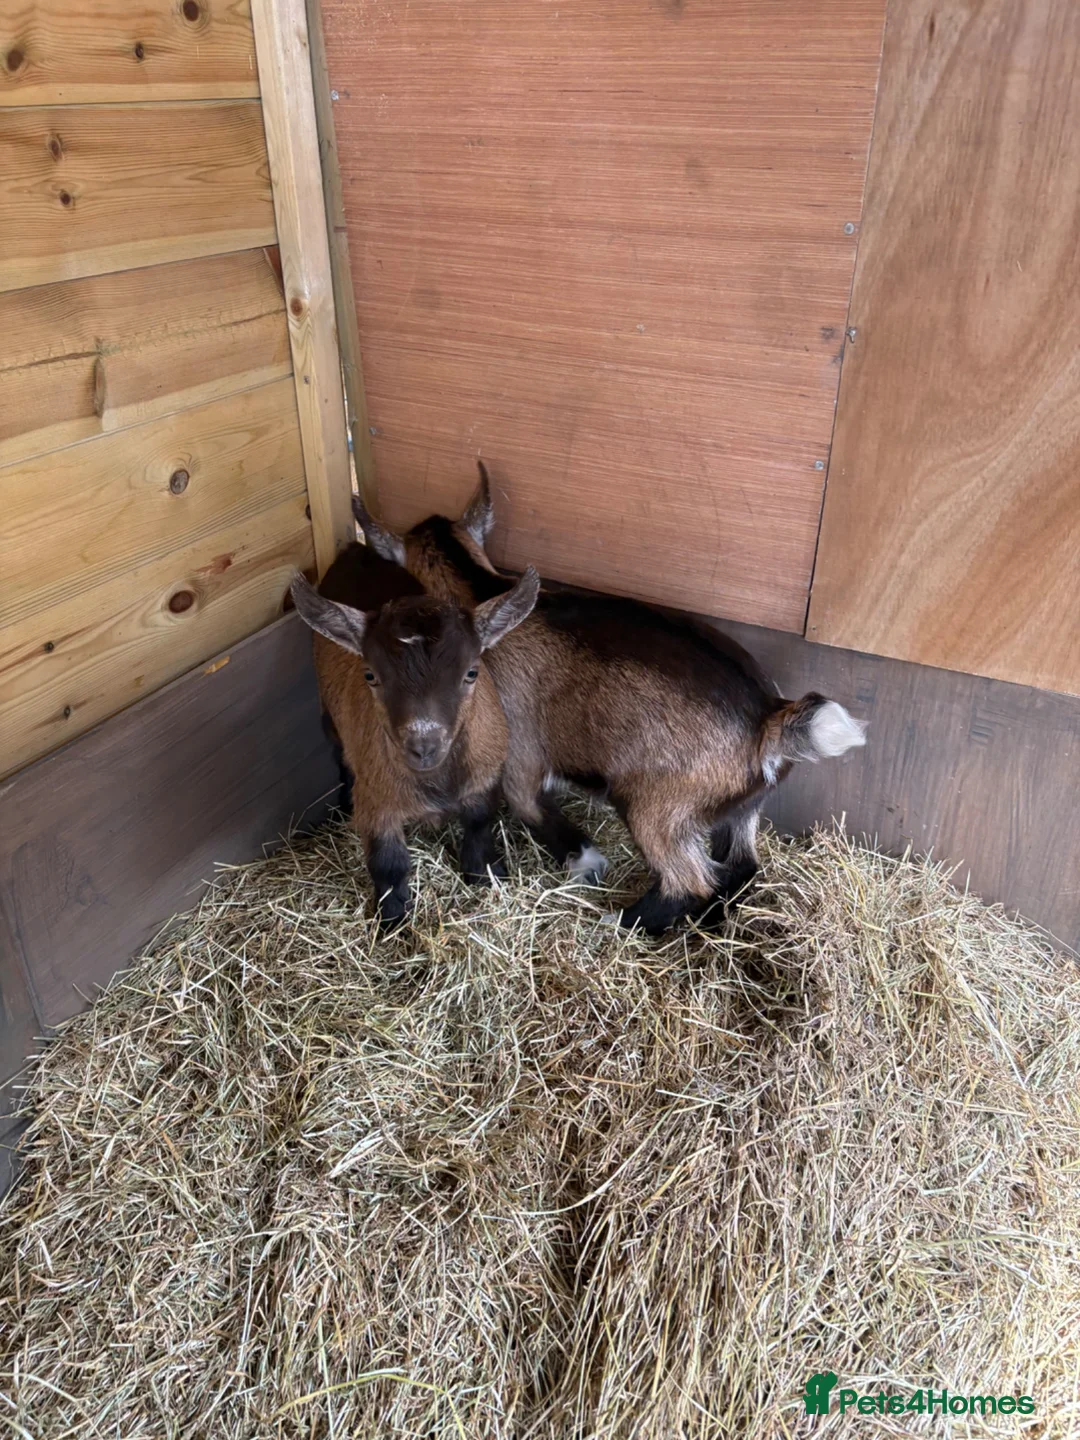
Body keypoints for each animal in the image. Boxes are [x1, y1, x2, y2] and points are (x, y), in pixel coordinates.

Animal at [290, 541, 538, 927]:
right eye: (370, 675)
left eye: (472, 672)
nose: (424, 746)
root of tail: (353, 550)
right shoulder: (377, 800)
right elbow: (387, 862)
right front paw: (393, 920)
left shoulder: (485, 777)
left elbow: (480, 823)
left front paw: (484, 874)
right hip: (331, 719)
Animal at [355, 470, 865, 935]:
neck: (481, 591)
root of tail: (768, 719)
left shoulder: (519, 752)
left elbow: (526, 803)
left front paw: (584, 860)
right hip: (740, 811)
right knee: (739, 869)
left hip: (658, 810)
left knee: (688, 881)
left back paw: (620, 921)